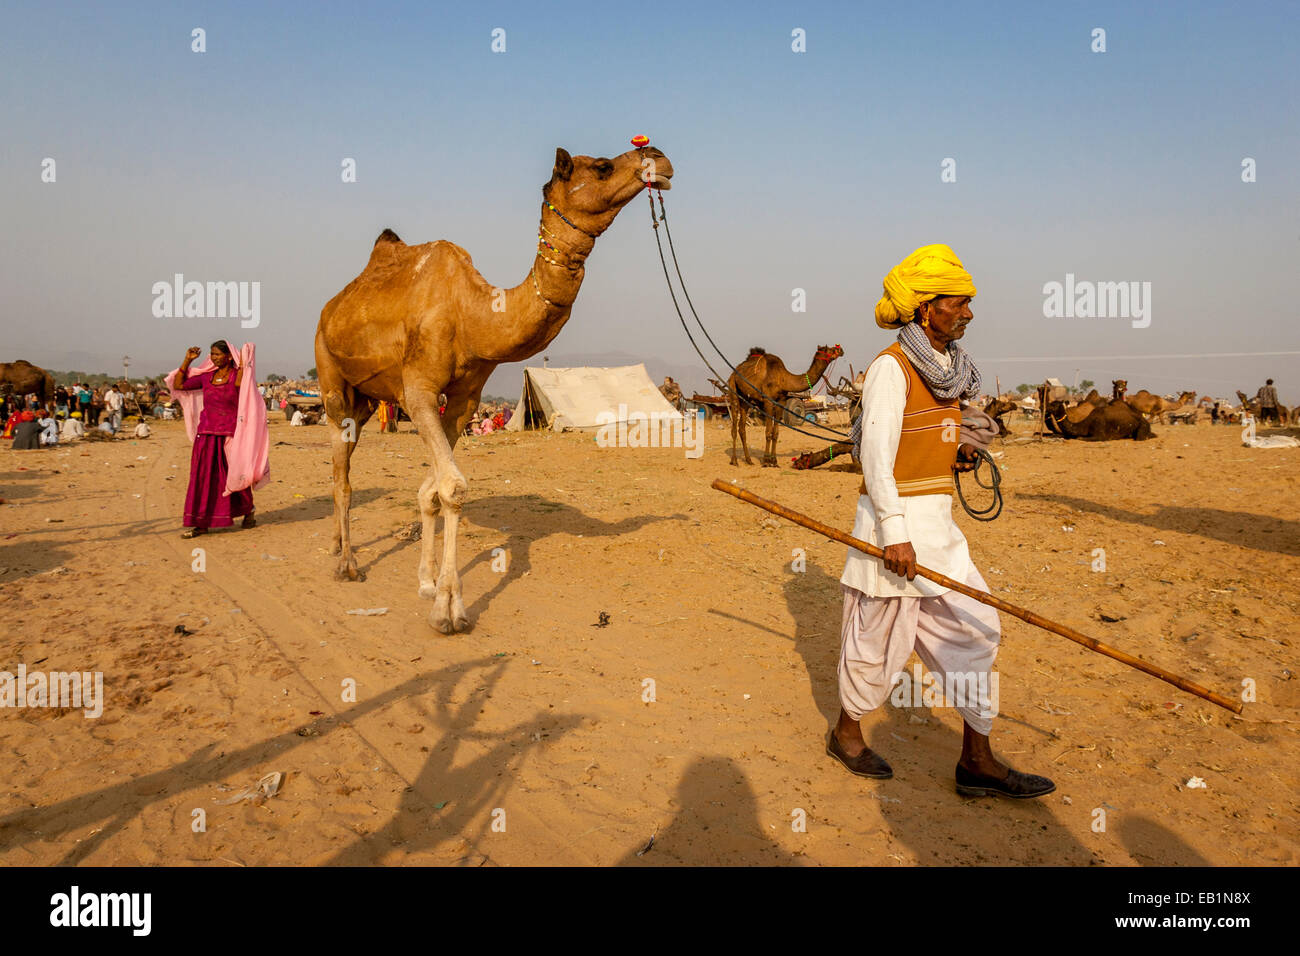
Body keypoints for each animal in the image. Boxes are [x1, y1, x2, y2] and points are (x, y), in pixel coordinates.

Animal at [314, 143, 674, 633]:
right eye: (602, 166)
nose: (658, 157)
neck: (475, 313)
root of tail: (333, 305)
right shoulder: (418, 389)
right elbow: (452, 488)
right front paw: (449, 609)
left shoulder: (465, 400)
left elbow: (431, 491)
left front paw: (428, 584)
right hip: (330, 375)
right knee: (342, 474)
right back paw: (347, 564)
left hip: (367, 397)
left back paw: (337, 544)